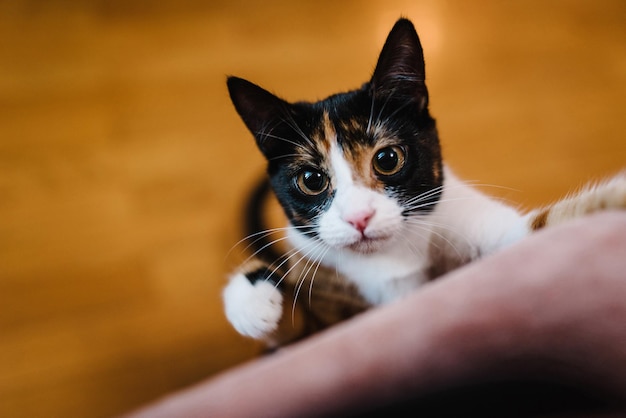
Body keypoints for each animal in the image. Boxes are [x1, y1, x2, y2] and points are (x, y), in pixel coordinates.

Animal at [221, 18, 624, 348]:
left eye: (387, 159)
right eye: (311, 179)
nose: (359, 218)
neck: (393, 259)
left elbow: (549, 226)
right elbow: (298, 331)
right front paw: (251, 300)